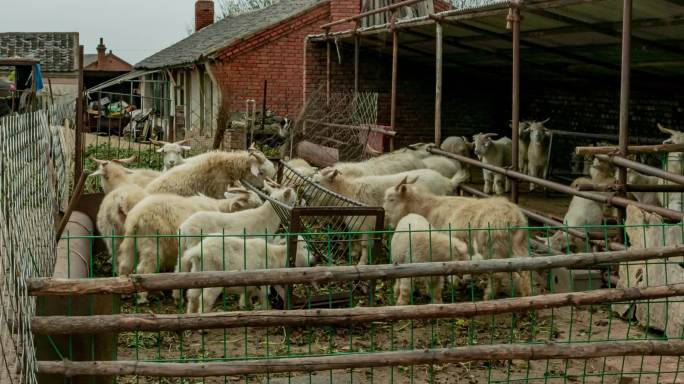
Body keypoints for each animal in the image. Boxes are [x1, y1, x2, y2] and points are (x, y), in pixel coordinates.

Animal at [182, 234, 310, 312]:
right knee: (205, 298)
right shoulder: (264, 279)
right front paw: (265, 308)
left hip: (197, 273)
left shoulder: (250, 282)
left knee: (192, 295)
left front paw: (245, 306)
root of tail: (199, 251)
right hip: (213, 277)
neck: (276, 255)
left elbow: (247, 294)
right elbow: (264, 295)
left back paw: (191, 314)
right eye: (304, 246)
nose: (313, 259)